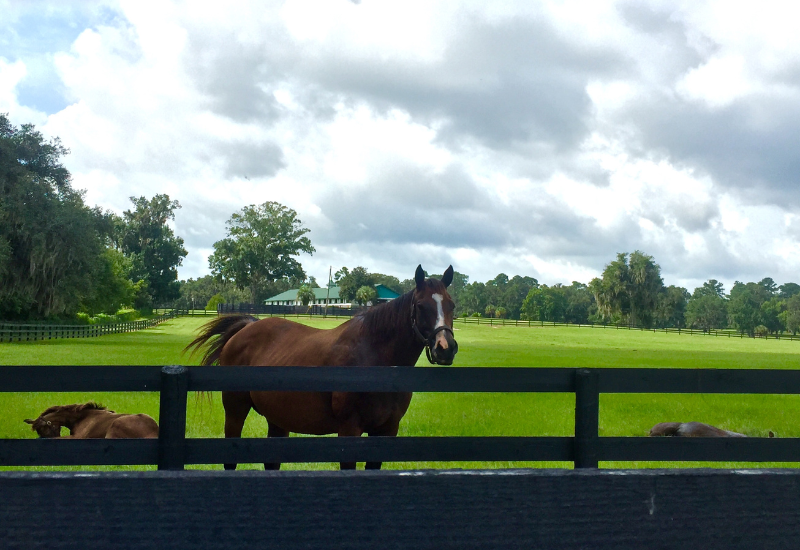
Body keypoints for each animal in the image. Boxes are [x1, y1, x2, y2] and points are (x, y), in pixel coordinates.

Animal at [185, 264, 459, 471]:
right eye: (421, 305)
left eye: (451, 305)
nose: (445, 347)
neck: (373, 358)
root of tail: (247, 326)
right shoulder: (349, 431)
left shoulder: (386, 432)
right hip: (235, 410)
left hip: (277, 419)